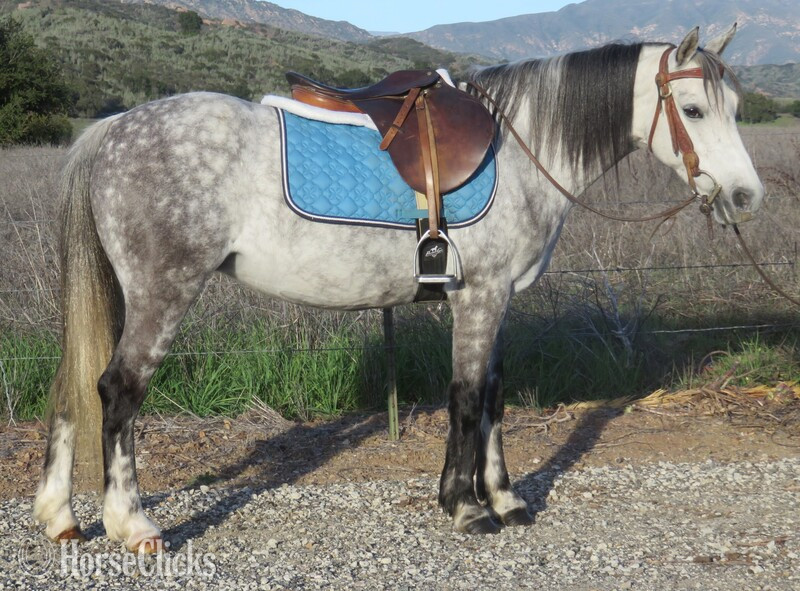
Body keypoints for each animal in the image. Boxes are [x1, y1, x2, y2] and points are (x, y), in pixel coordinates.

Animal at [34, 24, 763, 552]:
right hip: (163, 293)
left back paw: (60, 515)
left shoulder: (496, 299)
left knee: (70, 384)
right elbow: (465, 399)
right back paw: (132, 524)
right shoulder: (479, 299)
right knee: (118, 390)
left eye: (735, 108)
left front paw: (506, 498)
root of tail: (113, 127)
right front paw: (465, 507)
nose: (746, 197)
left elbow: (494, 396)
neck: (521, 152)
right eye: (693, 108)